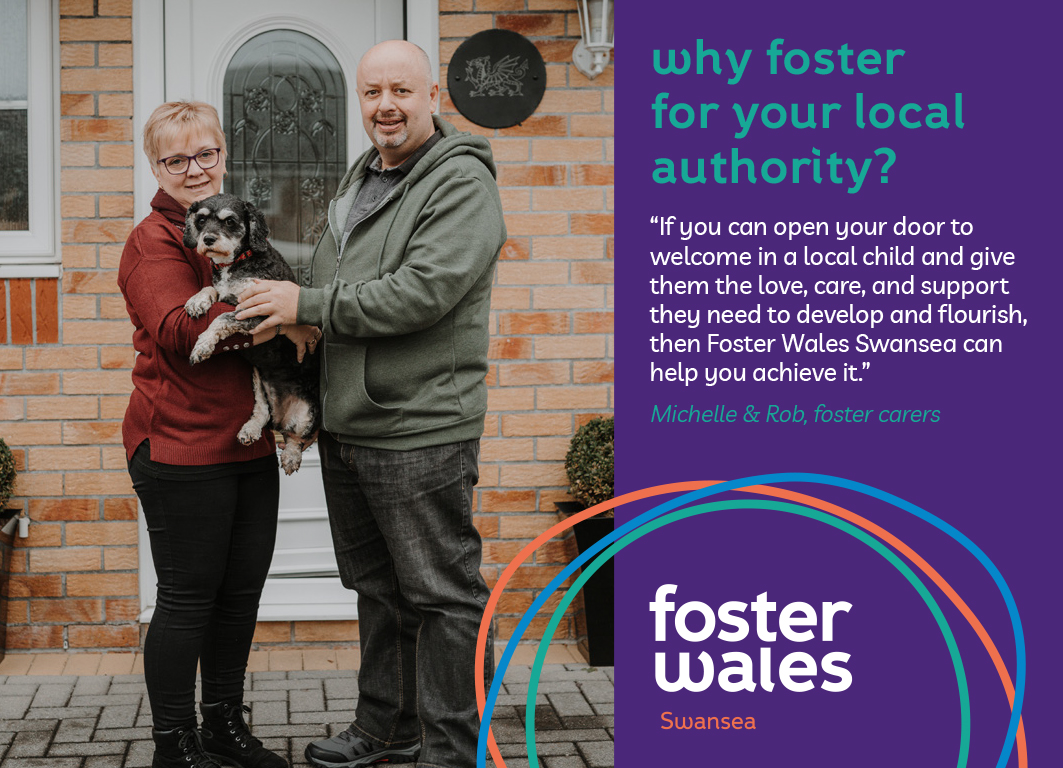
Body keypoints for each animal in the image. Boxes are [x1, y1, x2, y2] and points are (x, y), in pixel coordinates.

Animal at [182, 191, 318, 472]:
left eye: (230, 221)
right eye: (201, 220)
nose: (207, 239)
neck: (237, 261)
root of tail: (282, 418)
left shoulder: (260, 312)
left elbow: (221, 317)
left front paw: (203, 345)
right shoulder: (225, 293)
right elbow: (211, 290)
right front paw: (197, 300)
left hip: (308, 412)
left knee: (297, 437)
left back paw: (291, 455)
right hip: (258, 379)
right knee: (263, 412)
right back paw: (251, 429)